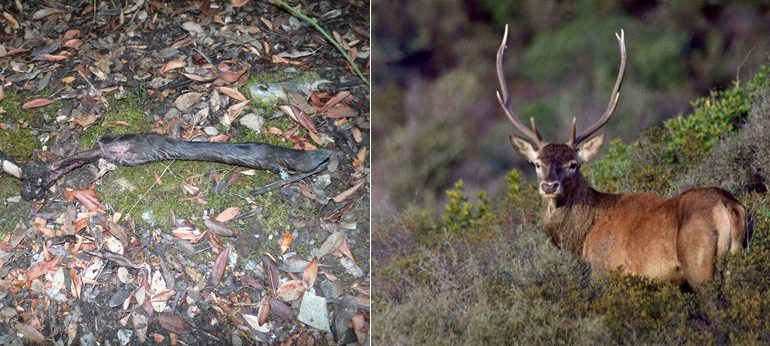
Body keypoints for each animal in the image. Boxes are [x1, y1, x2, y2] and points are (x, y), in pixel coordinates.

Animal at [496, 25, 748, 286]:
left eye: (573, 164)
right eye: (537, 163)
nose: (549, 186)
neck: (583, 238)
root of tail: (729, 207)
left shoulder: (603, 269)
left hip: (699, 265)